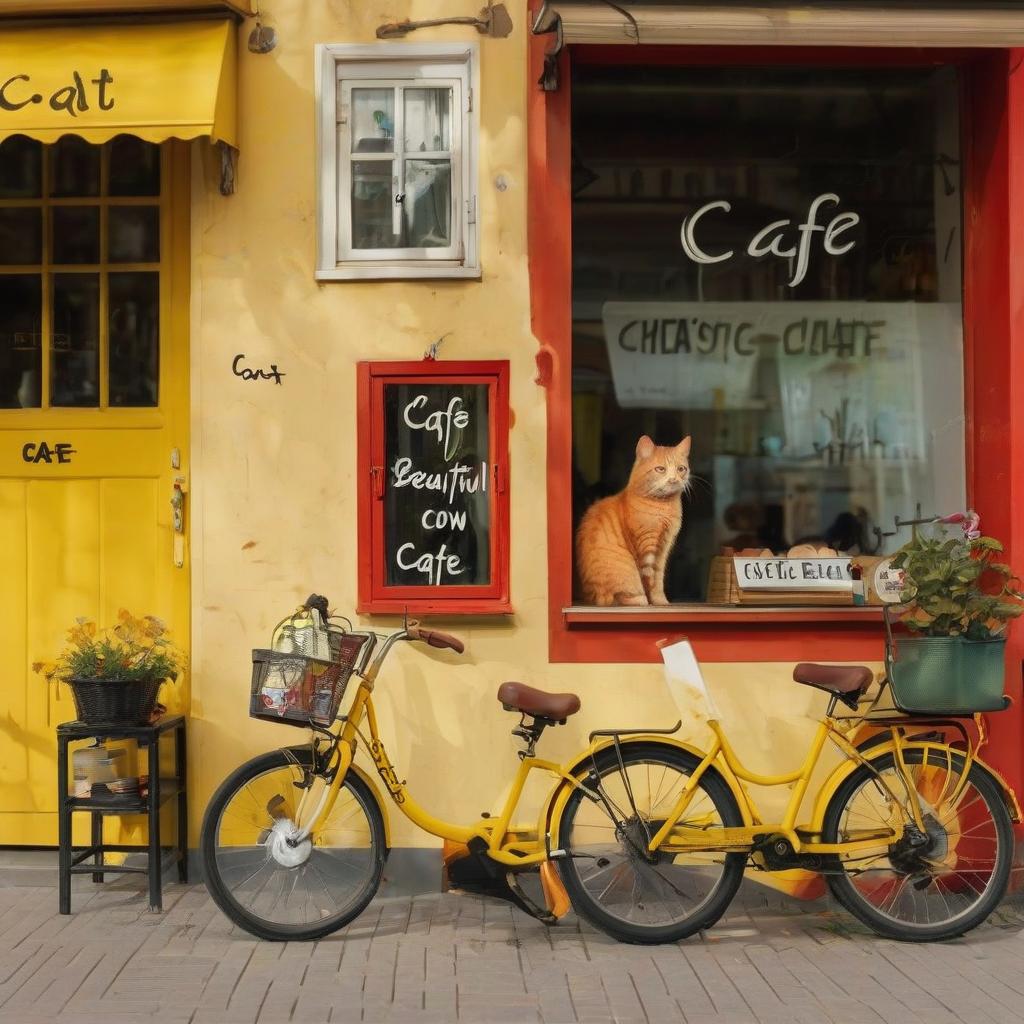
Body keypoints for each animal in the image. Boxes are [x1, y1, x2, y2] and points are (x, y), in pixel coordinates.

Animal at [573, 434, 692, 606]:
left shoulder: (663, 549)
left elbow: (658, 581)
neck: (663, 506)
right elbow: (649, 580)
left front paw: (661, 601)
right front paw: (652, 602)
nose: (673, 479)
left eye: (681, 469)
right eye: (660, 469)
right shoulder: (647, 549)